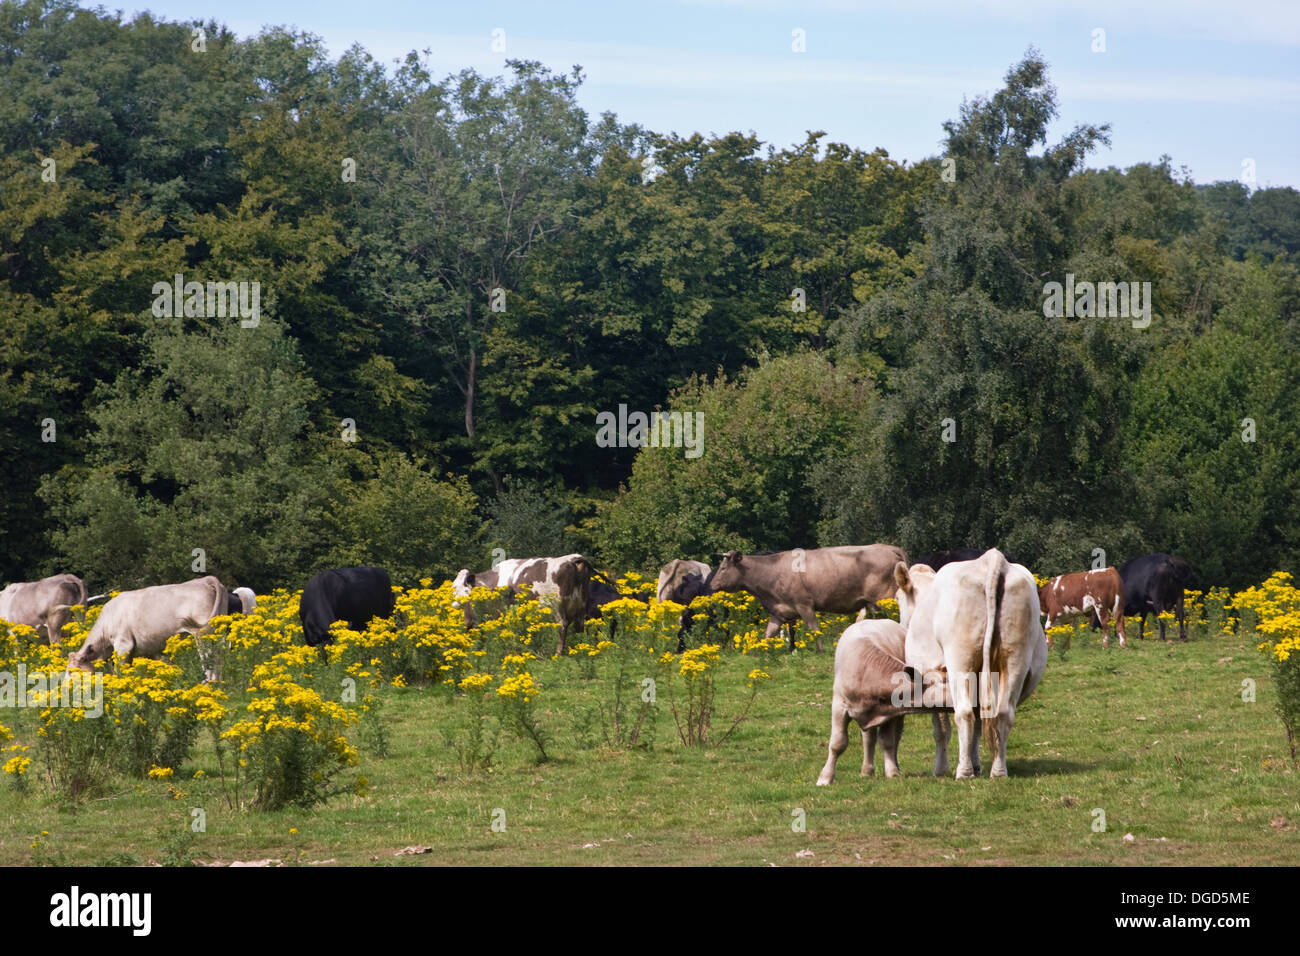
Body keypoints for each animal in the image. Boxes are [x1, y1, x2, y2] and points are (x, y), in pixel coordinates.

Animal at [65, 574, 228, 671]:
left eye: (71, 671)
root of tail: (205, 579)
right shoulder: (150, 650)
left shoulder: (123, 644)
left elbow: (119, 671)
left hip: (202, 634)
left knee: (210, 660)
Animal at [707, 546, 909, 650]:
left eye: (723, 568)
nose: (711, 585)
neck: (771, 571)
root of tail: (888, 548)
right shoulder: (778, 611)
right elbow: (768, 633)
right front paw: (760, 651)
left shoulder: (804, 605)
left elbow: (814, 629)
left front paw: (820, 650)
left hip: (886, 598)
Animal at [811, 621, 956, 785]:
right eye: (944, 681)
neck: (868, 674)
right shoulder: (839, 707)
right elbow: (837, 744)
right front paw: (825, 777)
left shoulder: (889, 712)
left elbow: (887, 741)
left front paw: (892, 771)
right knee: (868, 738)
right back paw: (866, 771)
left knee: (893, 737)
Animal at [894, 548, 1045, 780]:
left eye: (897, 598)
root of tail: (991, 559)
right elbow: (978, 725)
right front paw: (976, 765)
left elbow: (942, 729)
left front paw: (941, 769)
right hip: (1015, 658)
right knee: (1001, 713)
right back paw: (998, 771)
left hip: (961, 659)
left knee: (964, 713)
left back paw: (963, 772)